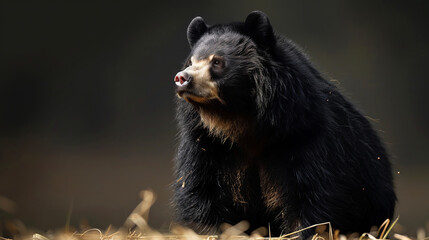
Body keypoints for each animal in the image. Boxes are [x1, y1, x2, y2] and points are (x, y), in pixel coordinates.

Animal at [171, 11, 394, 238]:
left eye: (217, 61)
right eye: (191, 61)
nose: (182, 78)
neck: (239, 119)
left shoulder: (307, 138)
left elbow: (315, 195)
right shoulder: (206, 143)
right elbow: (200, 189)